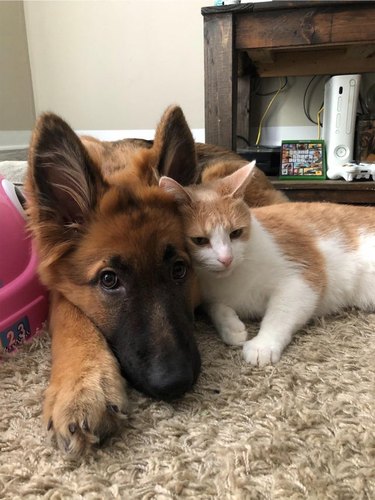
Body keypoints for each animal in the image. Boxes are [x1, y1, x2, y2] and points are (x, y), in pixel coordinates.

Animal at [25, 105, 286, 458]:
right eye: (109, 280)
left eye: (179, 270)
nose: (175, 383)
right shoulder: (57, 285)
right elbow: (70, 315)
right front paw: (82, 386)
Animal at [160, 164, 375, 368]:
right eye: (200, 240)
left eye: (236, 233)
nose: (226, 259)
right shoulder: (206, 294)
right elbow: (213, 306)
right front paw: (231, 327)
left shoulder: (304, 275)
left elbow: (280, 314)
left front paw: (263, 344)